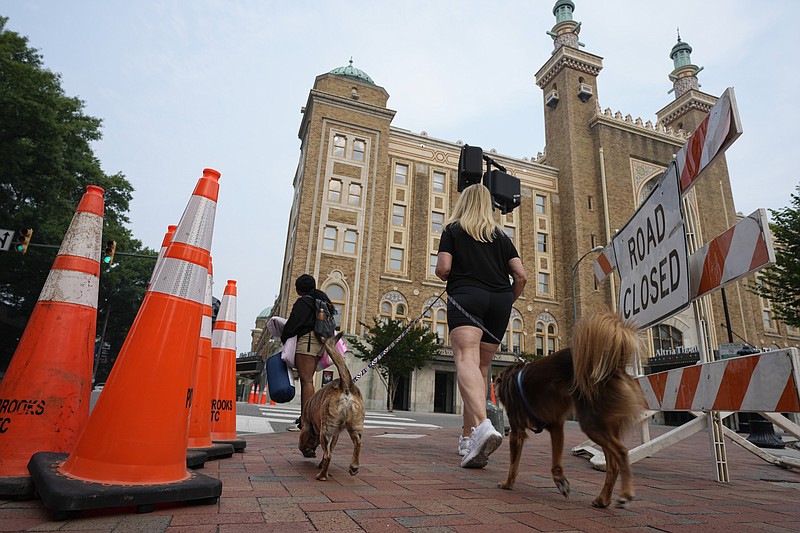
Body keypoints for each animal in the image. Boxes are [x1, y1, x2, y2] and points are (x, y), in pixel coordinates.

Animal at [296, 330, 366, 480]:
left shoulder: (307, 428)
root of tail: (345, 385)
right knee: (357, 443)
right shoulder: (335, 435)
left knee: (328, 455)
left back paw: (322, 475)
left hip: (326, 431)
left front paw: (308, 452)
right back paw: (353, 467)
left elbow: (301, 444)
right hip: (354, 427)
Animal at [494, 312, 644, 508]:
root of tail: (615, 367)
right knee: (613, 464)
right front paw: (560, 481)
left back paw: (625, 493)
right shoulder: (556, 426)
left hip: (591, 423)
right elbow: (556, 463)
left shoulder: (516, 432)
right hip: (604, 426)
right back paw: (603, 499)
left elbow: (513, 464)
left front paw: (507, 483)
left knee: (621, 452)